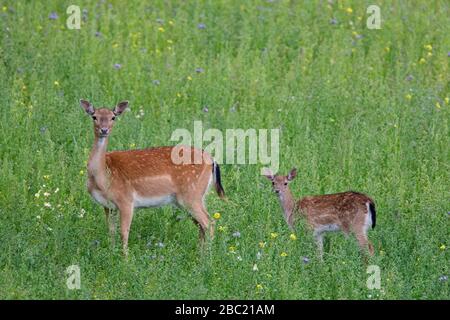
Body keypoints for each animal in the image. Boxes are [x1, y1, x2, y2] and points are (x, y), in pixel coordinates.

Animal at [80, 100, 224, 255]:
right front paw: (111, 253)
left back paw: (208, 256)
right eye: (94, 116)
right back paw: (199, 253)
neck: (103, 178)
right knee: (201, 225)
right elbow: (111, 231)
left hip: (191, 194)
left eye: (113, 117)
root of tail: (212, 160)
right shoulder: (108, 206)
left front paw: (125, 257)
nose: (104, 130)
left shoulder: (126, 200)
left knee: (209, 222)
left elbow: (124, 232)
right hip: (191, 198)